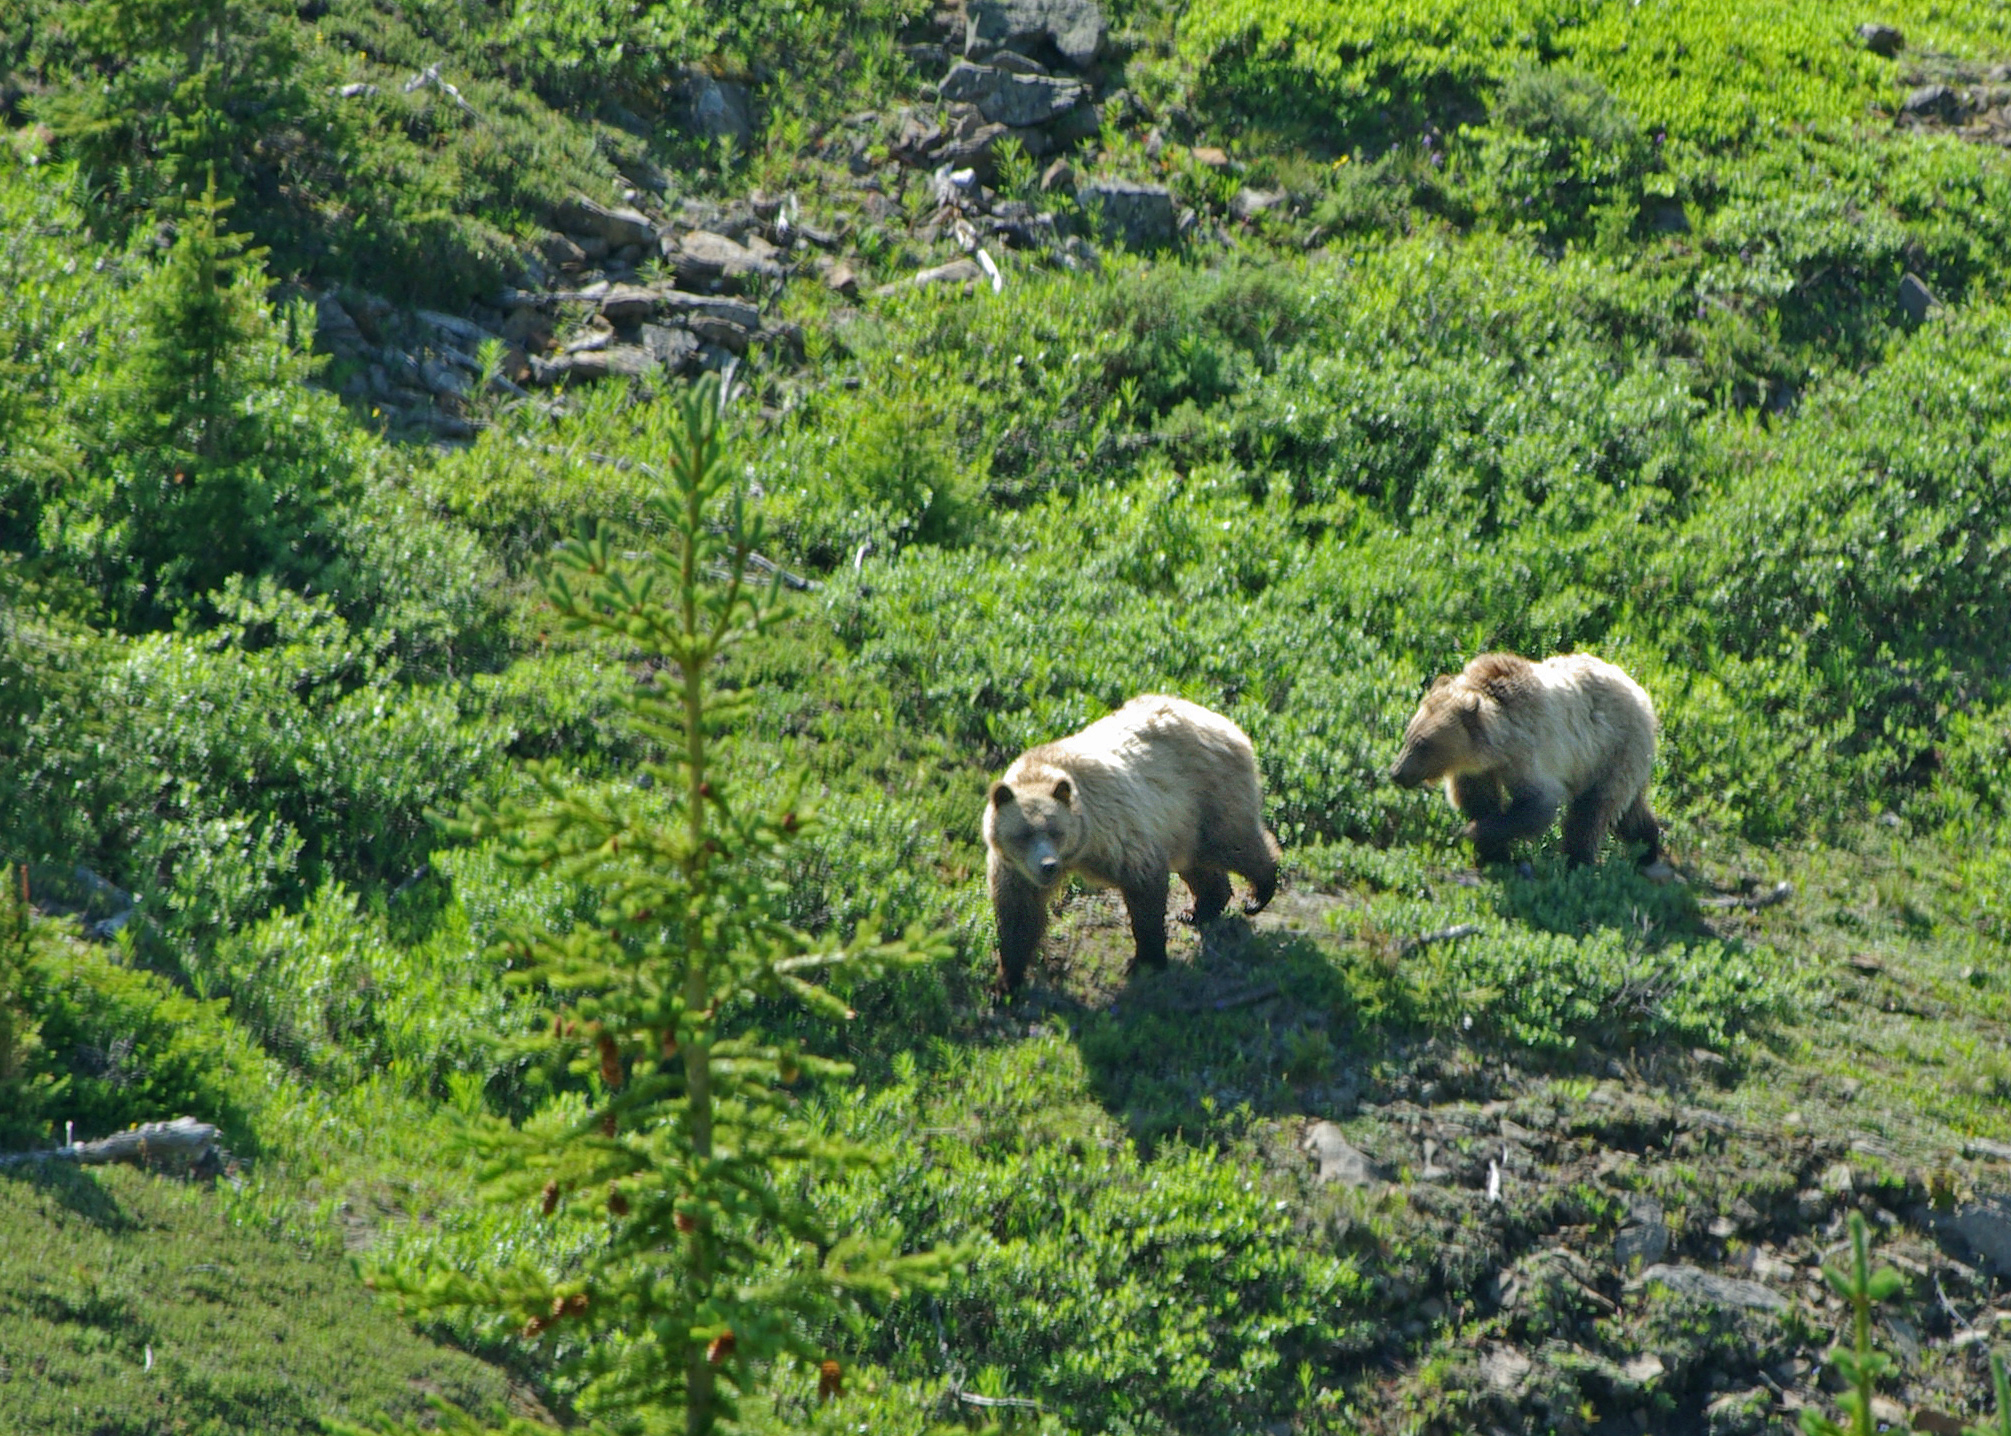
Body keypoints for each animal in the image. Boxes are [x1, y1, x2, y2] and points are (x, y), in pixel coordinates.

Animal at [981, 691, 1278, 985]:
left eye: (1056, 831)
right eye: (1023, 834)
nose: (1048, 866)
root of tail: (1224, 721)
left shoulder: (1116, 830)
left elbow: (1144, 890)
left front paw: (1145, 959)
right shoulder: (1014, 868)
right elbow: (1018, 915)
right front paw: (1008, 979)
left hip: (1207, 791)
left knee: (1233, 843)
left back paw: (1258, 893)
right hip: (1183, 821)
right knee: (1197, 862)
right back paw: (1198, 910)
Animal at [1391, 655, 1657, 868]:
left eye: (1424, 744)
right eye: (1408, 736)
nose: (1396, 772)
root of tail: (1640, 692)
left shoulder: (1529, 753)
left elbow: (1536, 804)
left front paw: (1472, 833)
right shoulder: (1477, 770)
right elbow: (1479, 799)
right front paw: (1493, 853)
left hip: (1614, 749)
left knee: (1592, 811)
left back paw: (1577, 862)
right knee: (1629, 813)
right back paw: (1647, 848)